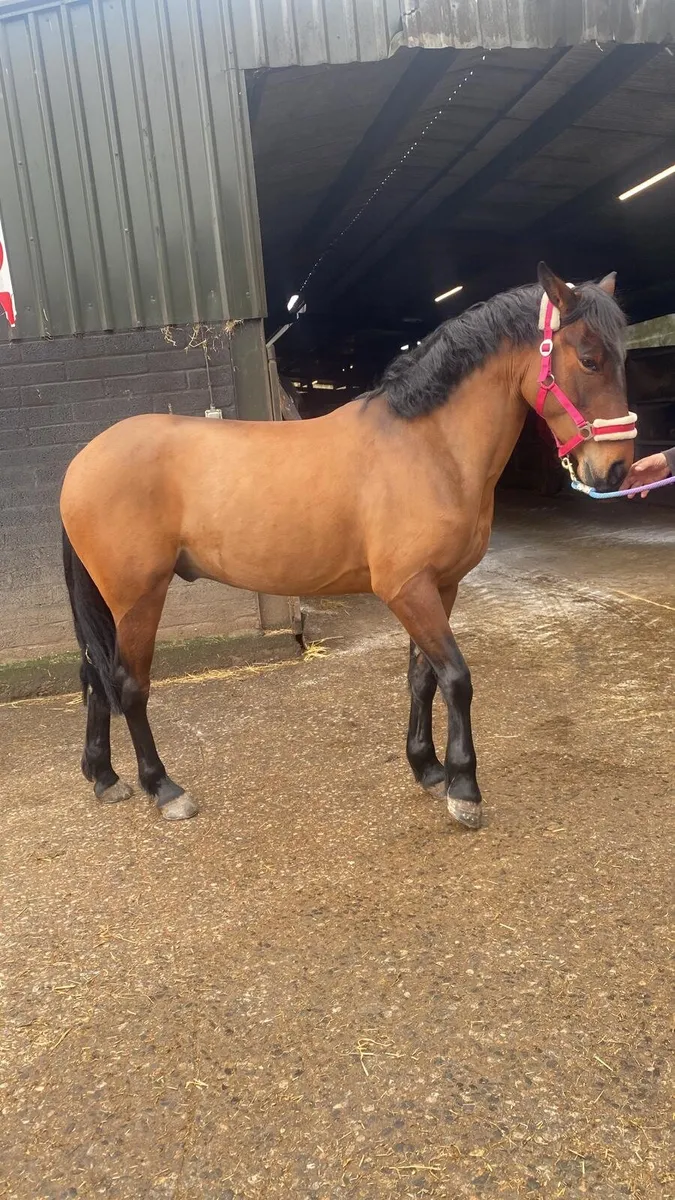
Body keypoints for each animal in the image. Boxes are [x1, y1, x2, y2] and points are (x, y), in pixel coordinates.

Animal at [60, 264, 634, 826]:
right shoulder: (408, 590)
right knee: (128, 684)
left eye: (623, 356)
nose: (616, 469)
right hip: (138, 598)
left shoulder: (440, 587)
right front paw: (464, 789)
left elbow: (422, 678)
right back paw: (164, 788)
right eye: (589, 359)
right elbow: (456, 678)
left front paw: (429, 769)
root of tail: (82, 461)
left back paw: (105, 778)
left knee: (94, 675)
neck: (429, 446)